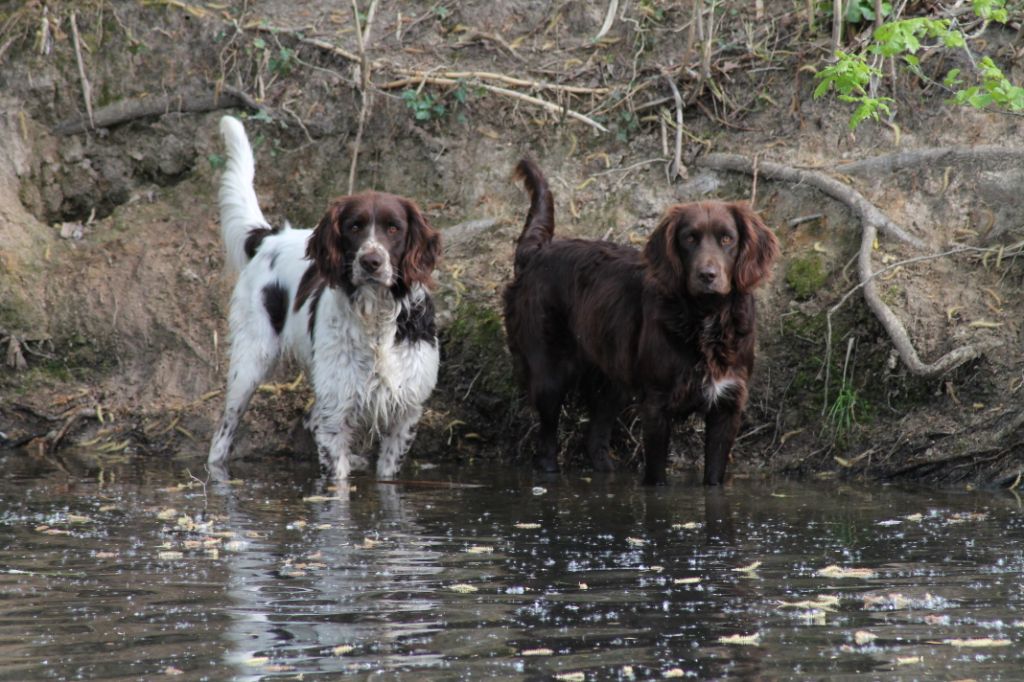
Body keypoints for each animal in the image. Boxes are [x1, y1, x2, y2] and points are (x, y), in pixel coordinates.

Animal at [209, 115, 442, 477]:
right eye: (354, 226)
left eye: (394, 228)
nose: (371, 262)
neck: (376, 316)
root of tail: (270, 237)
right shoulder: (337, 410)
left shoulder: (406, 412)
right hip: (251, 361)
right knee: (223, 433)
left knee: (309, 418)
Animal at [501, 159, 774, 483]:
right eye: (689, 239)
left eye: (727, 239)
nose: (707, 276)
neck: (705, 318)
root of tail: (536, 254)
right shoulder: (657, 405)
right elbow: (656, 478)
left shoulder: (727, 405)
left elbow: (714, 477)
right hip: (548, 374)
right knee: (546, 447)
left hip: (611, 380)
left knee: (594, 440)